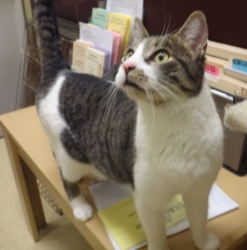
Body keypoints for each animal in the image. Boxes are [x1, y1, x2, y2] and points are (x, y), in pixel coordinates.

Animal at [34, 0, 224, 249]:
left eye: (161, 56)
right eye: (130, 53)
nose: (126, 66)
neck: (176, 123)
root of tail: (62, 73)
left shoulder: (199, 190)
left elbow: (199, 220)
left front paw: (204, 242)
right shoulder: (148, 200)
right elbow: (157, 235)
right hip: (70, 155)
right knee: (66, 175)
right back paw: (80, 206)